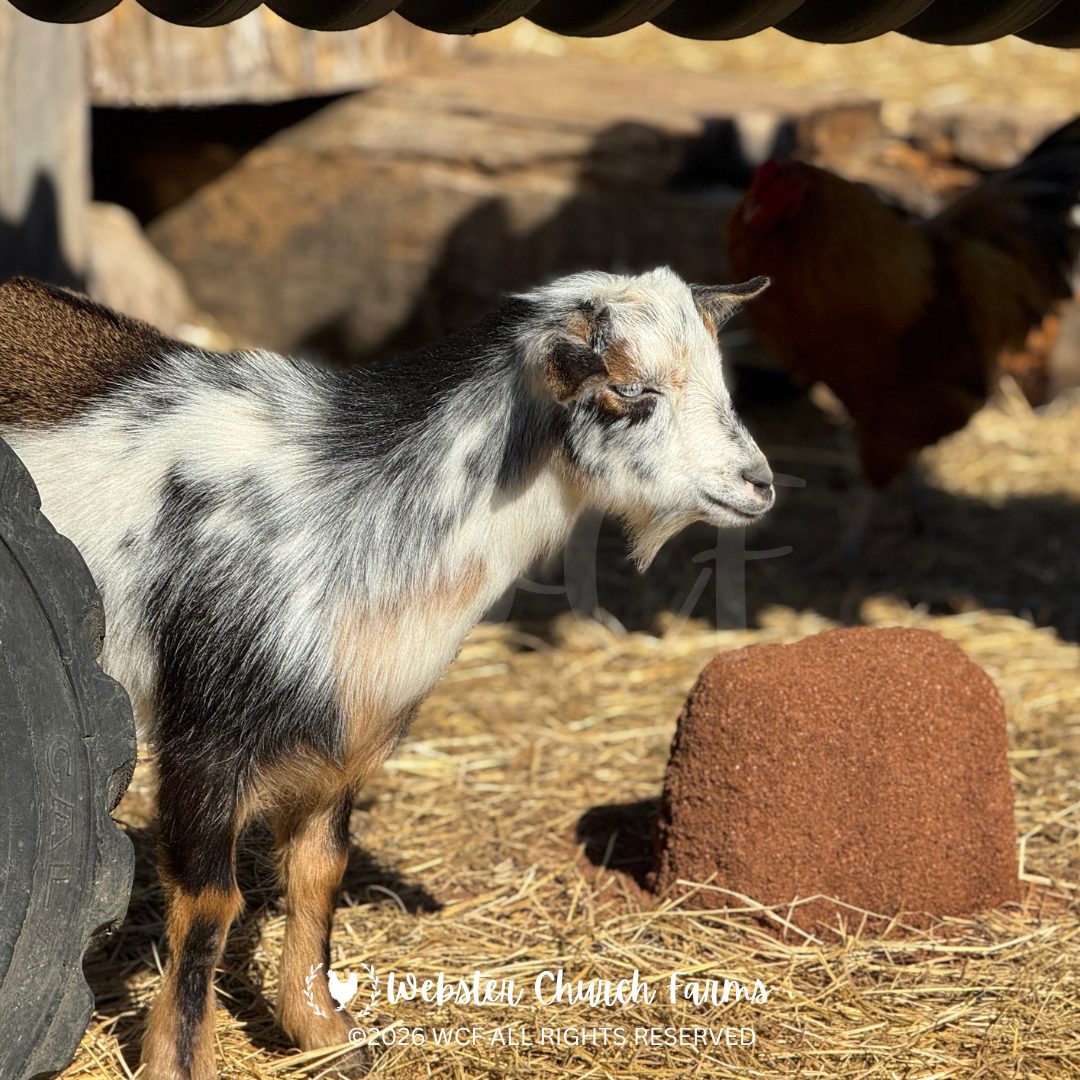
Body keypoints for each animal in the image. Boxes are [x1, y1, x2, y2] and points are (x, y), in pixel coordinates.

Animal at [0, 266, 774, 1079]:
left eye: (719, 375)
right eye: (630, 388)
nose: (758, 484)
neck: (350, 500)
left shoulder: (344, 730)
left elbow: (319, 871)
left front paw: (323, 1032)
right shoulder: (205, 729)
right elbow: (210, 900)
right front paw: (180, 1063)